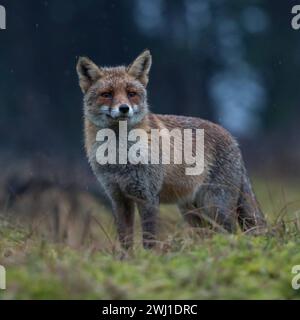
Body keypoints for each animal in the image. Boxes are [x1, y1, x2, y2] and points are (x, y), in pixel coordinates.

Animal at [77, 50, 268, 250]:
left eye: (131, 94)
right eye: (107, 94)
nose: (124, 108)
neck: (119, 158)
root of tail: (233, 138)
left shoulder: (148, 196)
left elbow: (149, 240)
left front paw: (149, 257)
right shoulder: (118, 197)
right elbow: (125, 242)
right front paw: (127, 258)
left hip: (216, 207)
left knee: (234, 233)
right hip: (193, 213)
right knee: (212, 236)